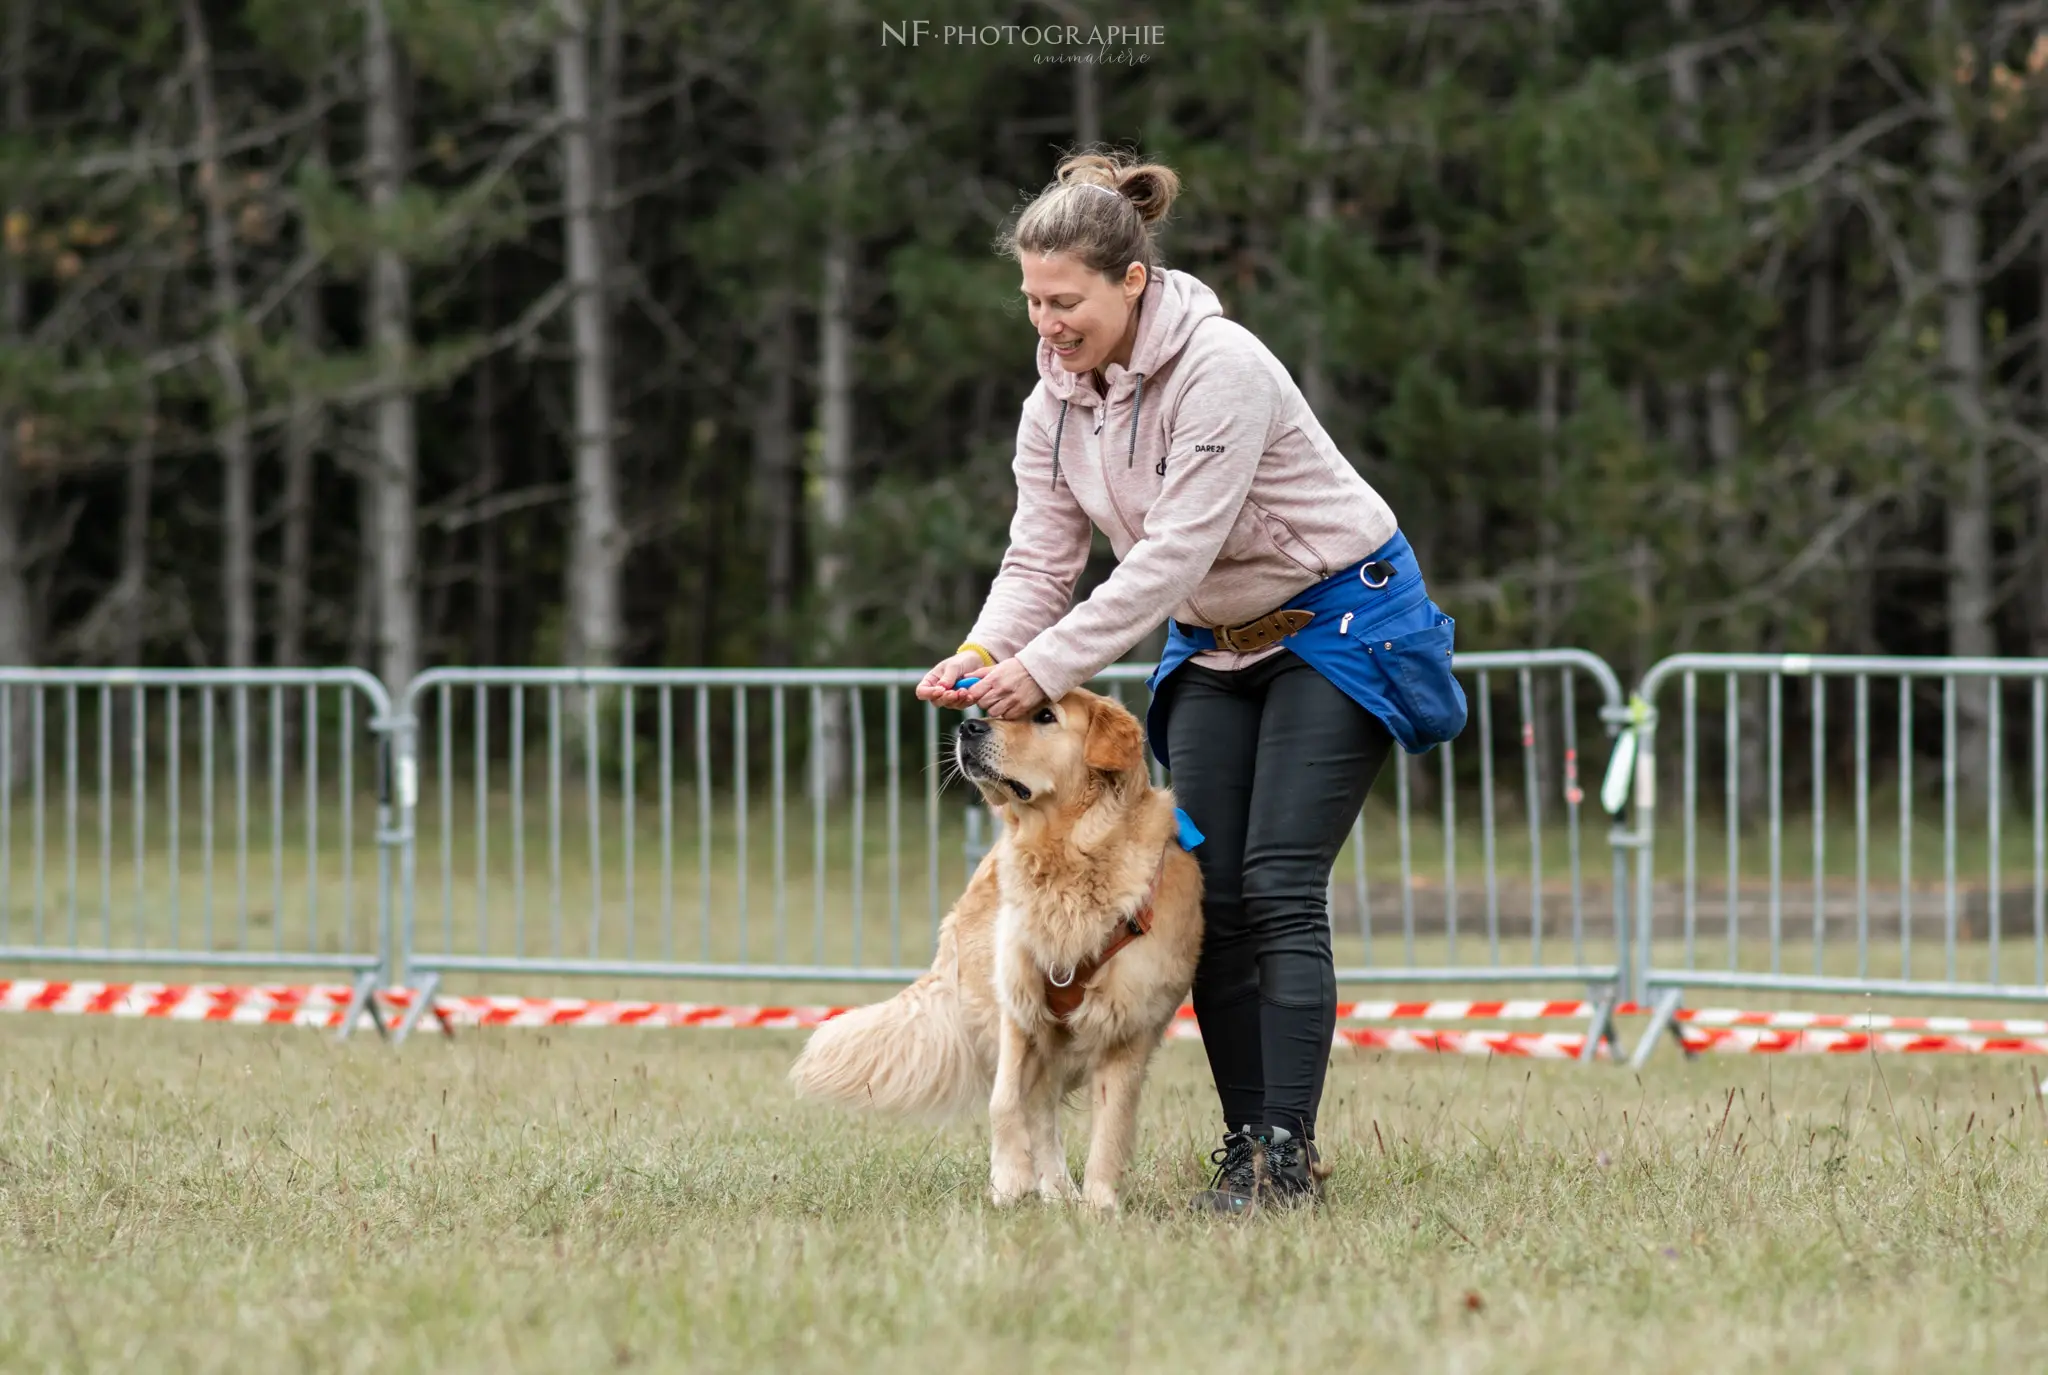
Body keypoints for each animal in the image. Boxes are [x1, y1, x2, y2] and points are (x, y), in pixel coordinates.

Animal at [782, 692, 1196, 1213]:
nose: (968, 728)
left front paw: (1098, 1206)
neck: (1068, 854)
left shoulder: (1128, 1029)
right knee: (1035, 1107)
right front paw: (1009, 1182)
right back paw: (1052, 1188)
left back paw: (1062, 1193)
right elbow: (1004, 1102)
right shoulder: (1020, 1010)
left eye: (1045, 716)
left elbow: (1111, 1125)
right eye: (1006, 710)